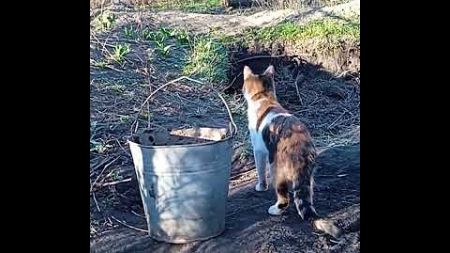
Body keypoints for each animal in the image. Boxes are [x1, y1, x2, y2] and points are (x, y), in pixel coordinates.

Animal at [244, 64, 340, 237]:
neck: (264, 97)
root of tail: (301, 149)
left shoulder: (259, 150)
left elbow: (260, 170)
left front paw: (261, 186)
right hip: (308, 176)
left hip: (276, 167)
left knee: (284, 197)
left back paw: (275, 209)